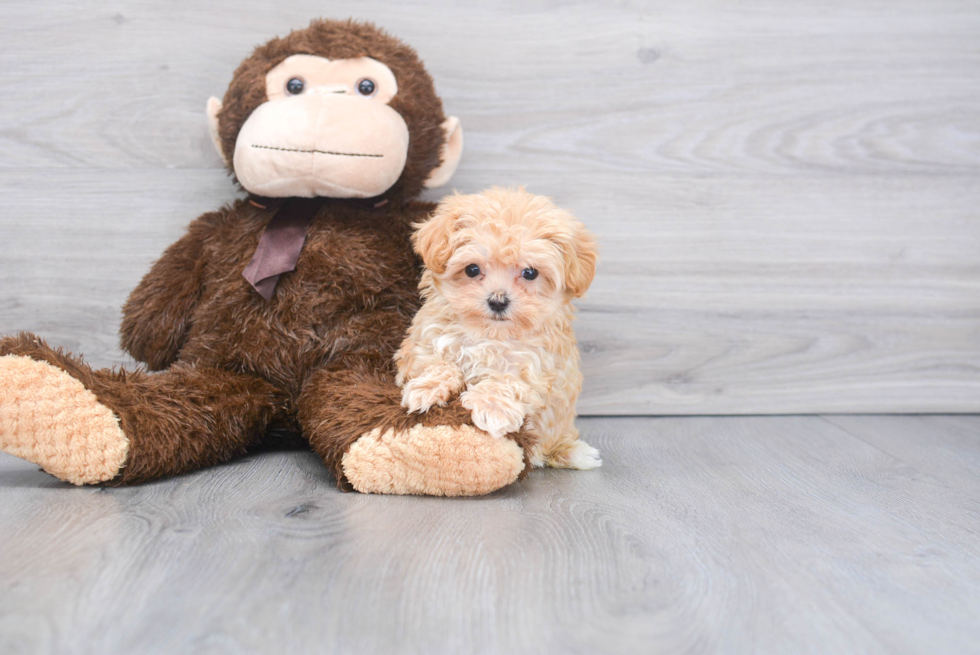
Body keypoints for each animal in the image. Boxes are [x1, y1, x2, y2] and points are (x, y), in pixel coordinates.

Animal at [394, 187, 600, 468]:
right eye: (472, 269)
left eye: (530, 273)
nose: (498, 301)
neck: (490, 334)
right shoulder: (424, 341)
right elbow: (436, 362)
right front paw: (426, 389)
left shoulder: (537, 363)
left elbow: (508, 379)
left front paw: (491, 410)